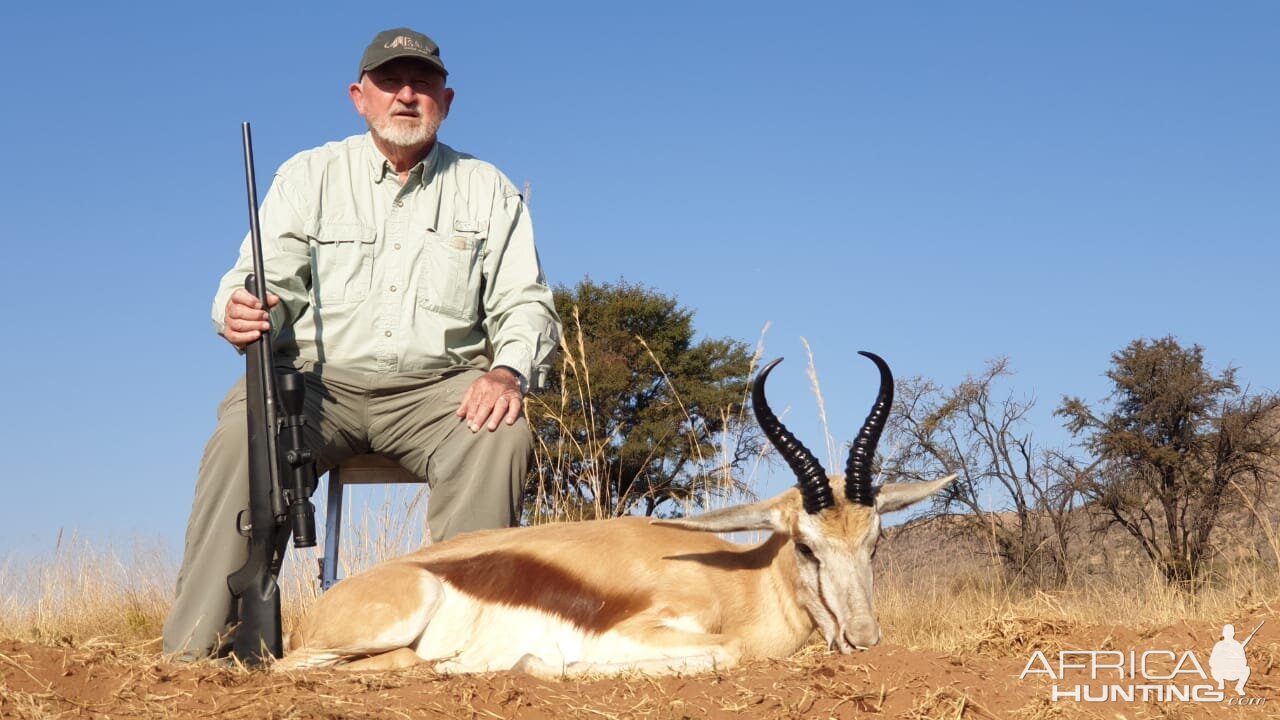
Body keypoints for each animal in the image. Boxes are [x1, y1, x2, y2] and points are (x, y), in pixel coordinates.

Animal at [282, 351, 962, 676]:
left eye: (875, 543)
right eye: (805, 546)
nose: (865, 639)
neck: (734, 583)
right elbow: (725, 653)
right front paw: (539, 663)